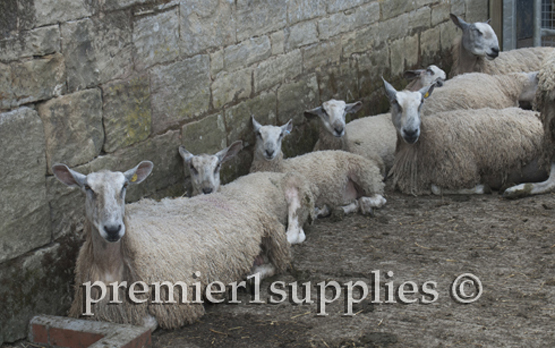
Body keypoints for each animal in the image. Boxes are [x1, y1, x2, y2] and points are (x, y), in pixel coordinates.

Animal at [52, 160, 314, 328]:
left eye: (125, 186)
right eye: (87, 188)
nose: (113, 228)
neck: (111, 265)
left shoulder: (174, 304)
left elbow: (148, 322)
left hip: (272, 228)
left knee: (284, 252)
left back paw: (249, 278)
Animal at [249, 117, 384, 218]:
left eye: (281, 135)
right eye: (258, 134)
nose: (269, 151)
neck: (282, 167)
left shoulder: (310, 191)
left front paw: (319, 210)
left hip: (366, 177)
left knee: (378, 199)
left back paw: (366, 207)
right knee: (355, 202)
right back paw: (338, 211)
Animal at [382, 78, 548, 196]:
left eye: (421, 102)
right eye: (395, 102)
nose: (411, 132)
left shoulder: (462, 172)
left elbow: (436, 188)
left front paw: (483, 188)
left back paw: (515, 190)